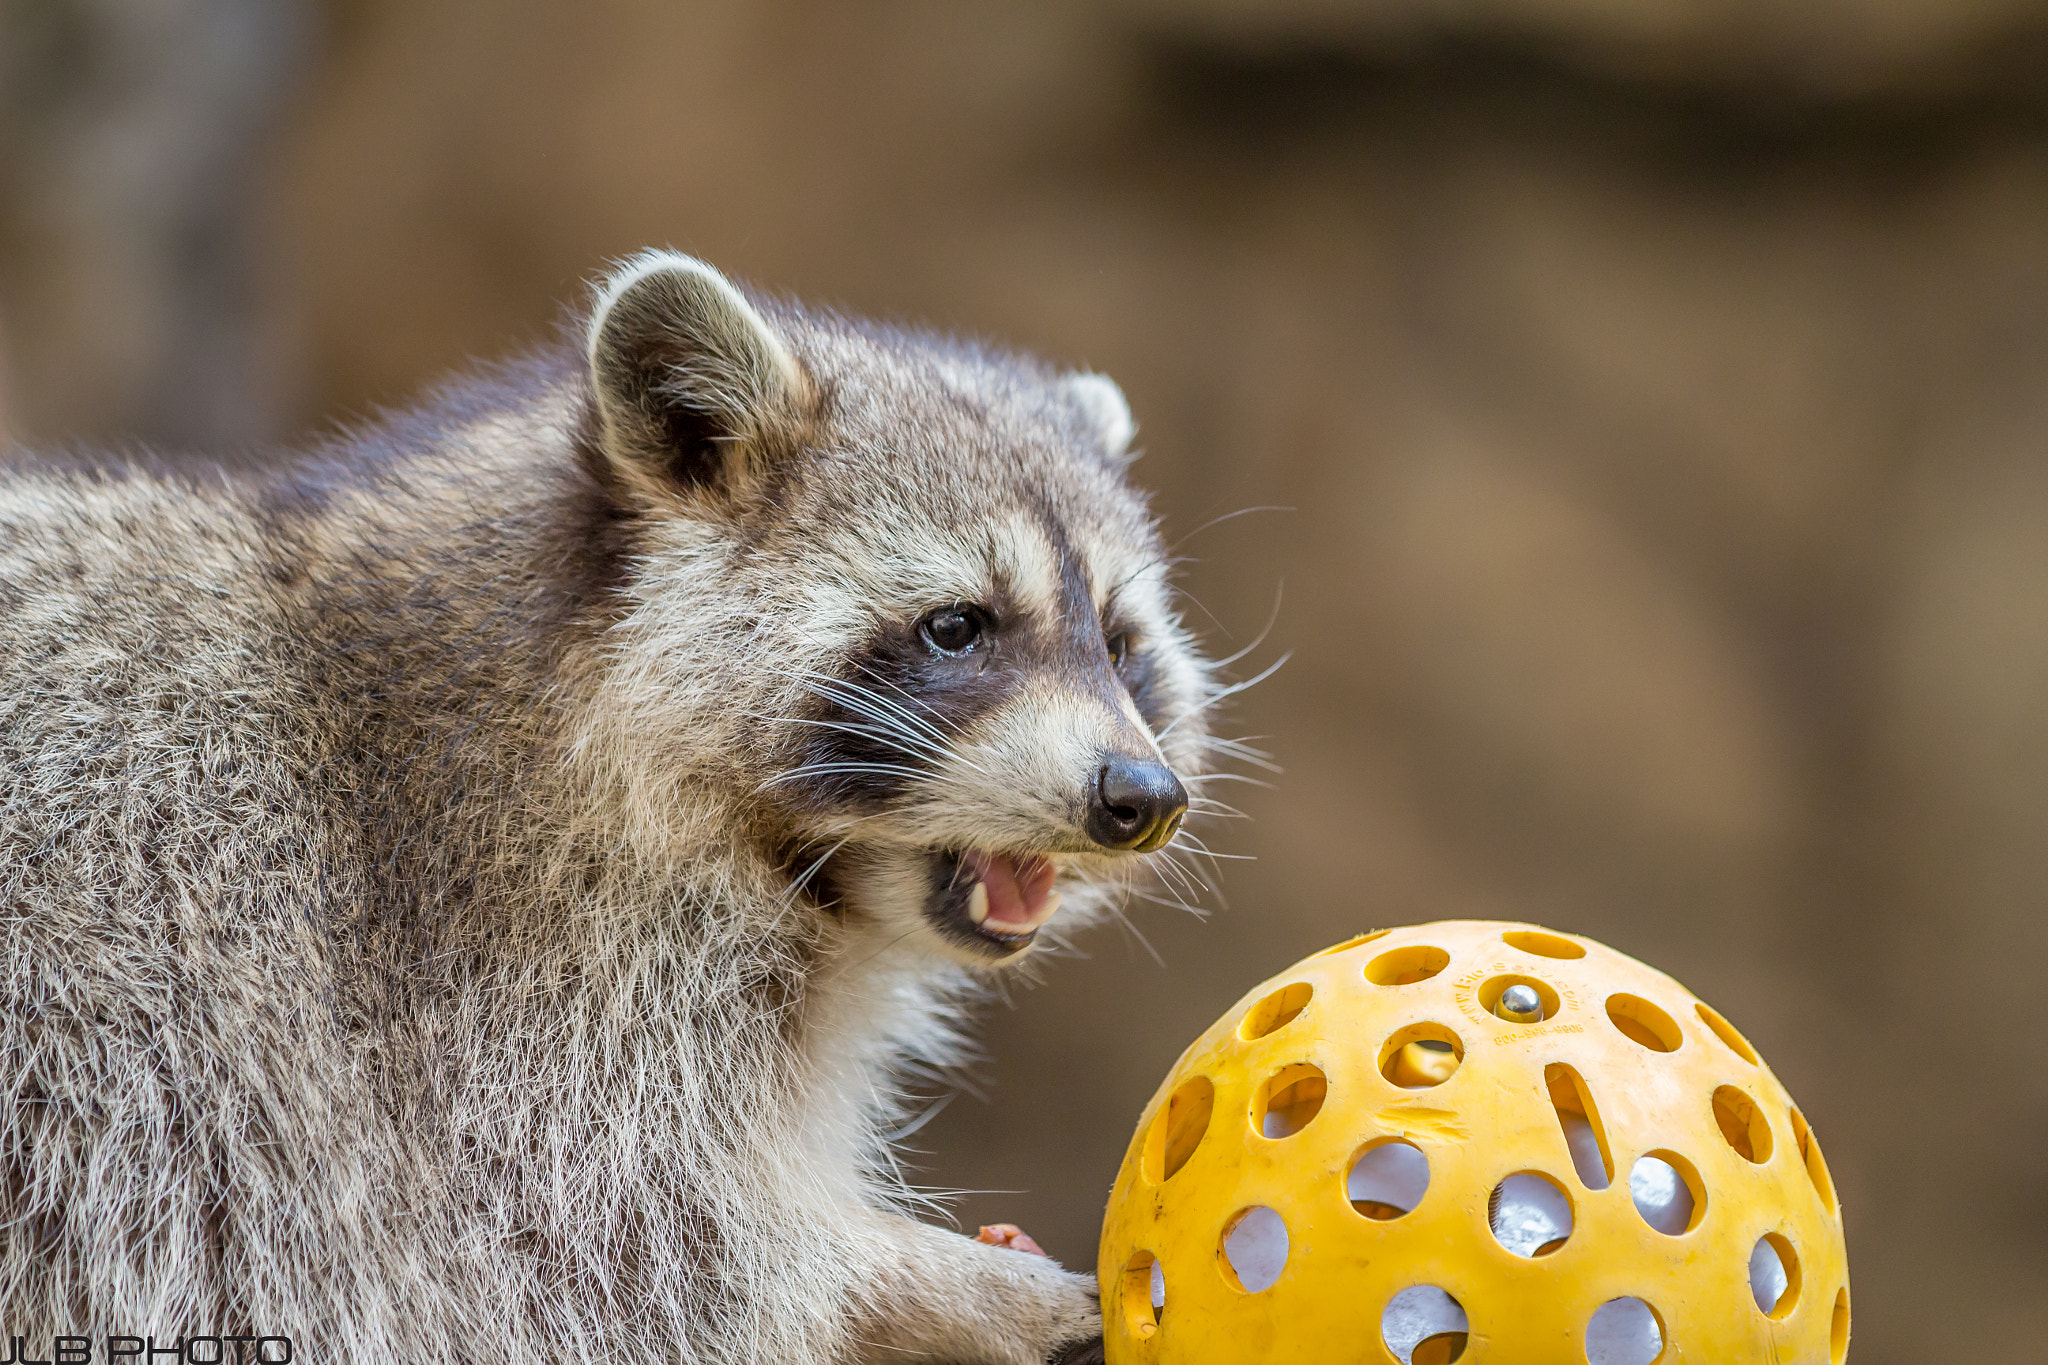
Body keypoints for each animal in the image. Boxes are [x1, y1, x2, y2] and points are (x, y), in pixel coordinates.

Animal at [0, 253, 1217, 1364]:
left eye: (1120, 645)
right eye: (958, 628)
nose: (1138, 795)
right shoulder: (493, 971)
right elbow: (608, 1250)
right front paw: (921, 1287)